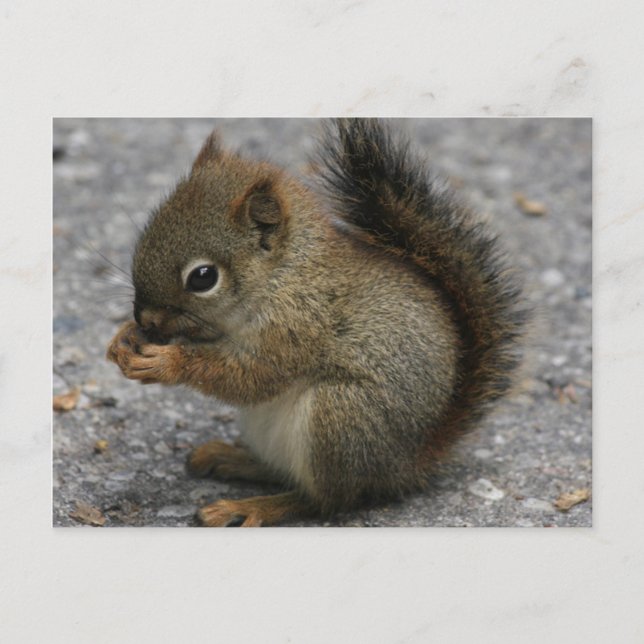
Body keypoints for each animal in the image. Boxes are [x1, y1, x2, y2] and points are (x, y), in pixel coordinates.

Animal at [107, 119, 527, 527]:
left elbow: (252, 377)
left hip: (340, 417)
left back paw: (253, 507)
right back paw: (232, 458)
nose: (145, 317)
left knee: (324, 501)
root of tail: (407, 464)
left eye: (203, 277)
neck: (283, 274)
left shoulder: (298, 325)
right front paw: (123, 340)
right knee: (284, 473)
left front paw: (166, 362)